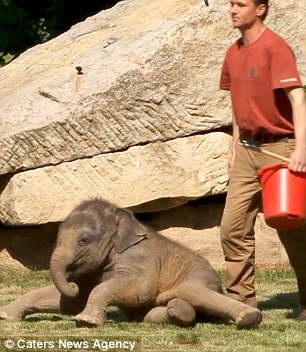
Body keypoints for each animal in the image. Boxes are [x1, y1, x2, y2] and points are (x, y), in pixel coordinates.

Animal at [0, 199, 262, 328]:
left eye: (84, 240)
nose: (71, 281)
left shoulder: (139, 259)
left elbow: (138, 289)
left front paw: (86, 322)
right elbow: (74, 301)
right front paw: (5, 316)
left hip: (201, 277)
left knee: (195, 292)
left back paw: (249, 317)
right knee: (158, 313)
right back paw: (178, 311)